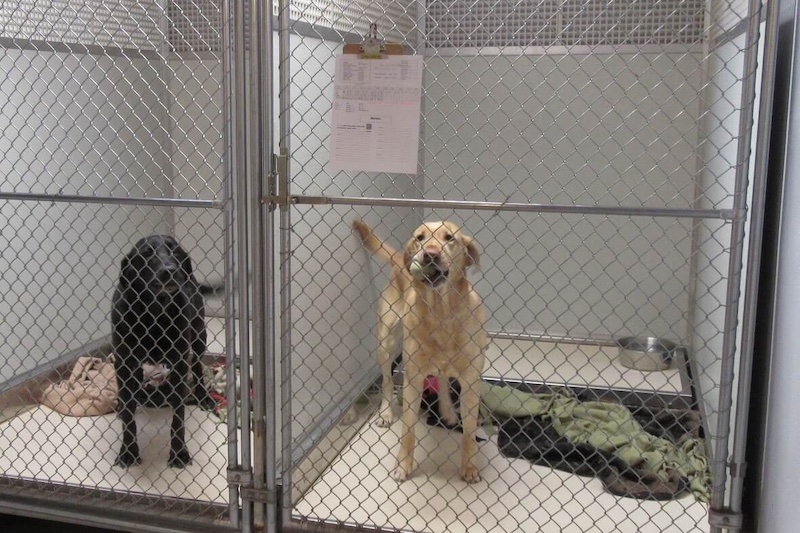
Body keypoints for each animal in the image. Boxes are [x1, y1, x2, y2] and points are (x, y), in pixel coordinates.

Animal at [111, 235, 219, 468]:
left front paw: (179, 453)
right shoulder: (123, 362)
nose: (169, 270)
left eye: (175, 251)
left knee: (197, 368)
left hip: (199, 336)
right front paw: (128, 451)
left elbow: (178, 417)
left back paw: (203, 397)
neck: (153, 313)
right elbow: (129, 418)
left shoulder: (179, 364)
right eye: (146, 252)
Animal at [352, 218, 488, 480]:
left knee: (442, 379)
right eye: (420, 237)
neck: (441, 314)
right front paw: (403, 465)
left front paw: (469, 467)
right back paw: (386, 413)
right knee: (387, 381)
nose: (430, 254)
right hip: (386, 343)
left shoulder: (470, 381)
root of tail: (398, 258)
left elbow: (469, 432)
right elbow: (408, 430)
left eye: (449, 238)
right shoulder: (413, 379)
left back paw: (447, 412)